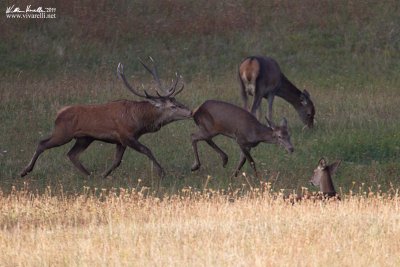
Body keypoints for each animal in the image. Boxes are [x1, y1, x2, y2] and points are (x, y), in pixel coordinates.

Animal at [19, 58, 191, 180]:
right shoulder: (125, 135)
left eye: (178, 101)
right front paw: (161, 172)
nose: (190, 111)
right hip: (63, 133)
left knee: (72, 154)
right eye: (173, 106)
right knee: (42, 143)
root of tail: (59, 113)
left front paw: (103, 175)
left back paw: (89, 175)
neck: (140, 122)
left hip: (84, 138)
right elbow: (146, 150)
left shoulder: (121, 141)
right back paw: (25, 171)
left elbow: (117, 161)